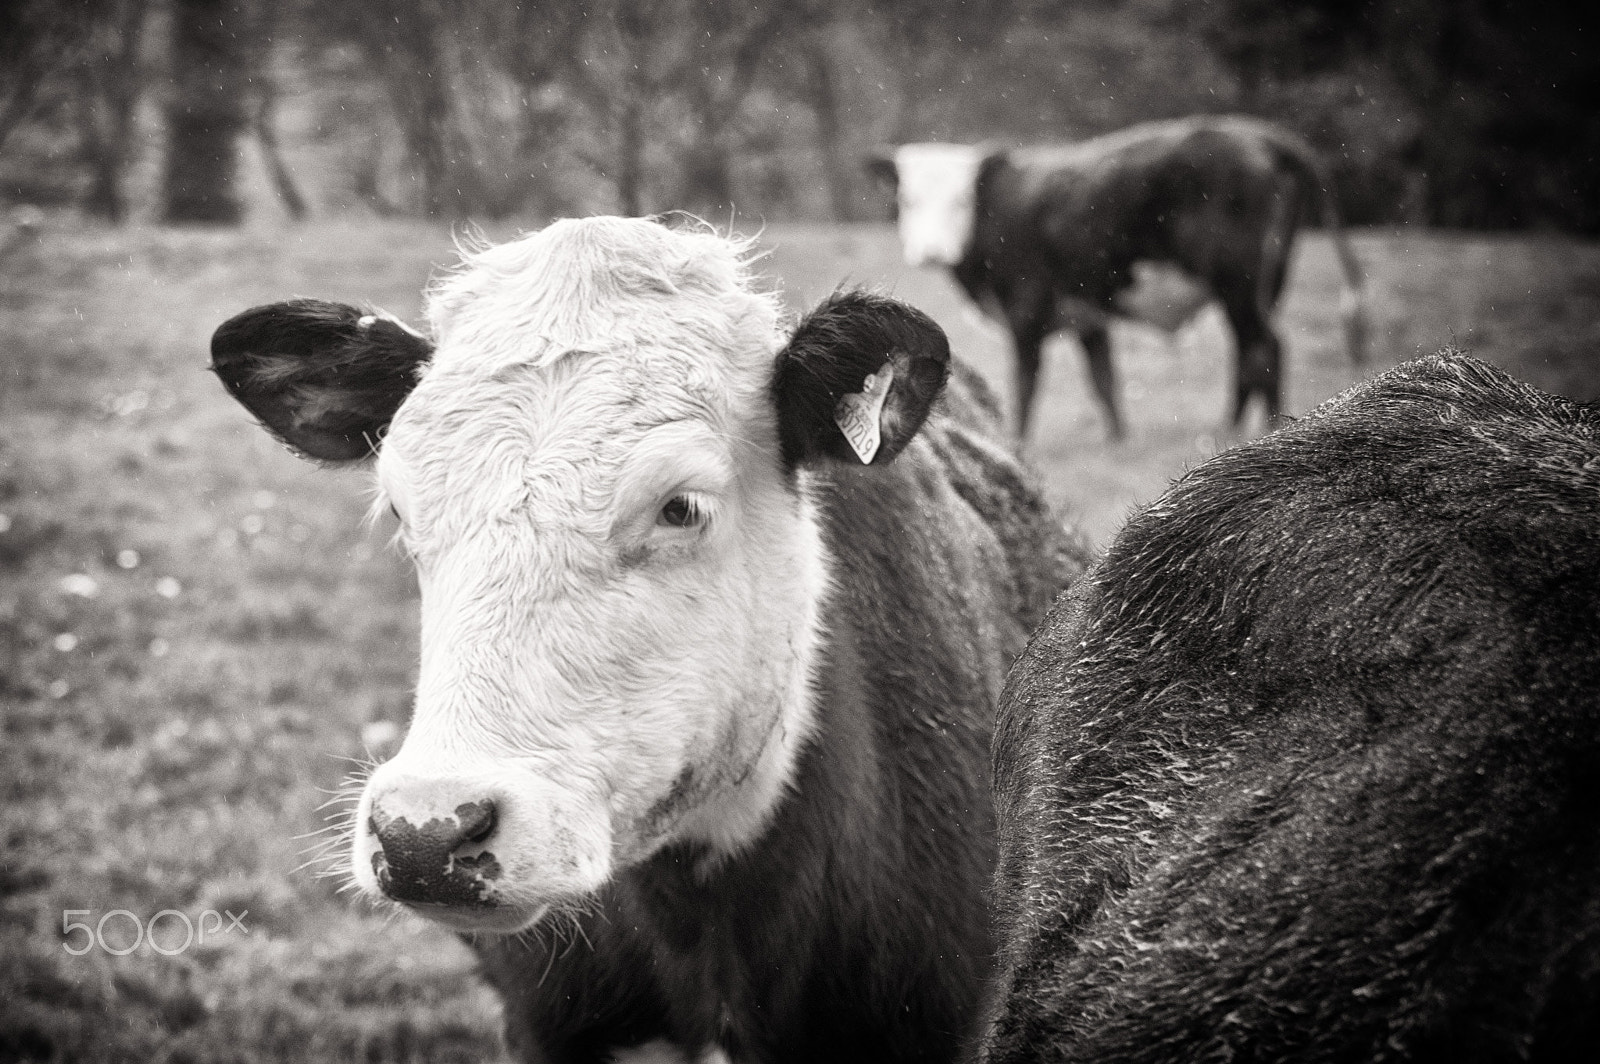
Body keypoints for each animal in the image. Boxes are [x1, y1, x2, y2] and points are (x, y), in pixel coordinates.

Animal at [870, 112, 1369, 435]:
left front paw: (1019, 442)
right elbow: (1104, 380)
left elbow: (1026, 384)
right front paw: (1117, 439)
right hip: (1262, 285)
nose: (930, 252)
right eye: (907, 200)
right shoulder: (1087, 316)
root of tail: (1258, 134)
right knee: (1248, 355)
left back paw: (1254, 431)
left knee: (1264, 350)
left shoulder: (1026, 312)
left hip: (1238, 285)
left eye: (960, 201)